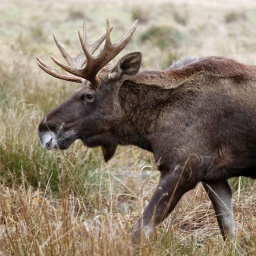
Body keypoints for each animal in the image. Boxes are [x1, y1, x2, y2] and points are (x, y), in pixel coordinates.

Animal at [37, 20, 255, 244]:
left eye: (89, 95)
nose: (45, 129)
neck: (151, 127)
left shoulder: (182, 168)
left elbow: (139, 231)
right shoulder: (213, 177)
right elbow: (228, 232)